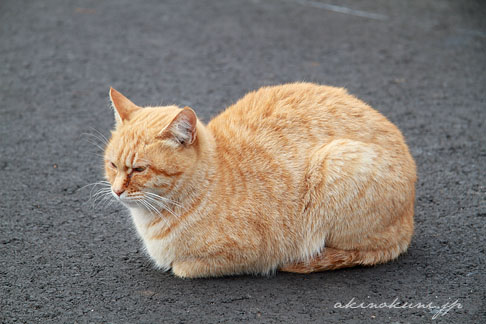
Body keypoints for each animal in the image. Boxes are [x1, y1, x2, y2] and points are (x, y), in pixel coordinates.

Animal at [103, 82, 418, 278]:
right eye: (113, 165)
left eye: (139, 169)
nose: (117, 191)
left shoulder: (250, 252)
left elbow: (183, 268)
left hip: (336, 162)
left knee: (367, 251)